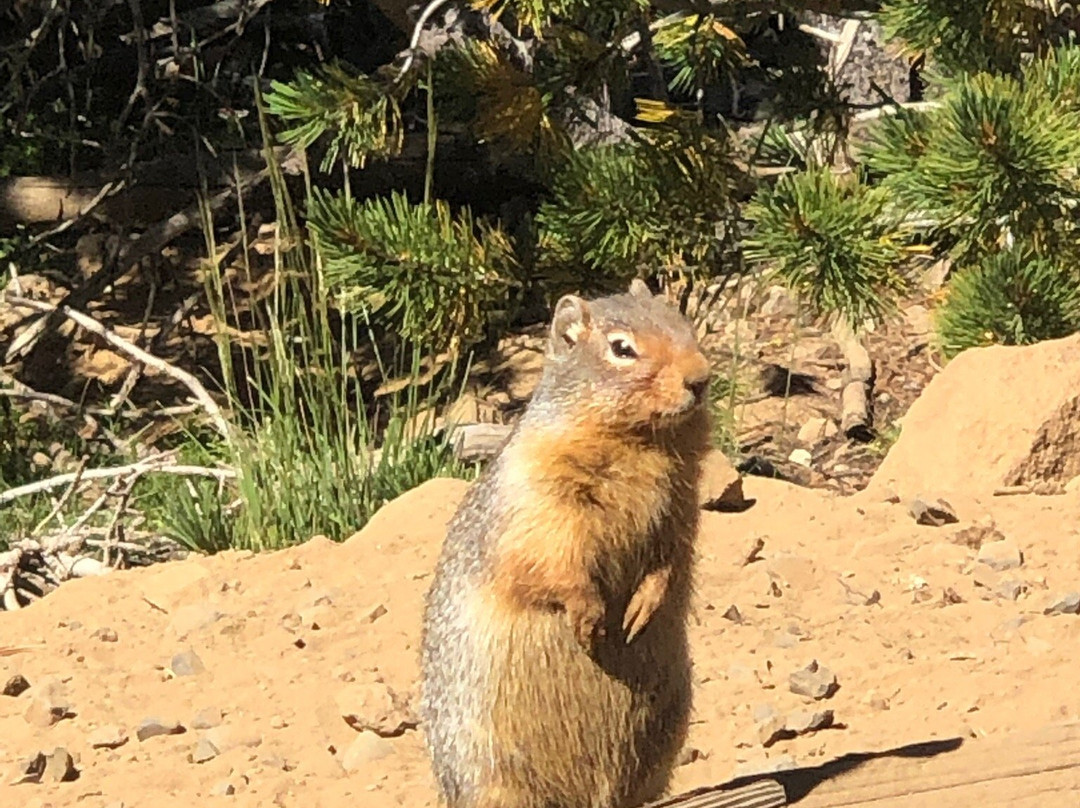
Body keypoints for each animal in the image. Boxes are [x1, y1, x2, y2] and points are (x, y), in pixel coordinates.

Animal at [423, 280, 717, 808]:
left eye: (683, 322)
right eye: (622, 348)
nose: (700, 379)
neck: (644, 442)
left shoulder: (680, 504)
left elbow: (673, 555)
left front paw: (644, 606)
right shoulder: (540, 496)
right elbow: (554, 557)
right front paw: (589, 616)